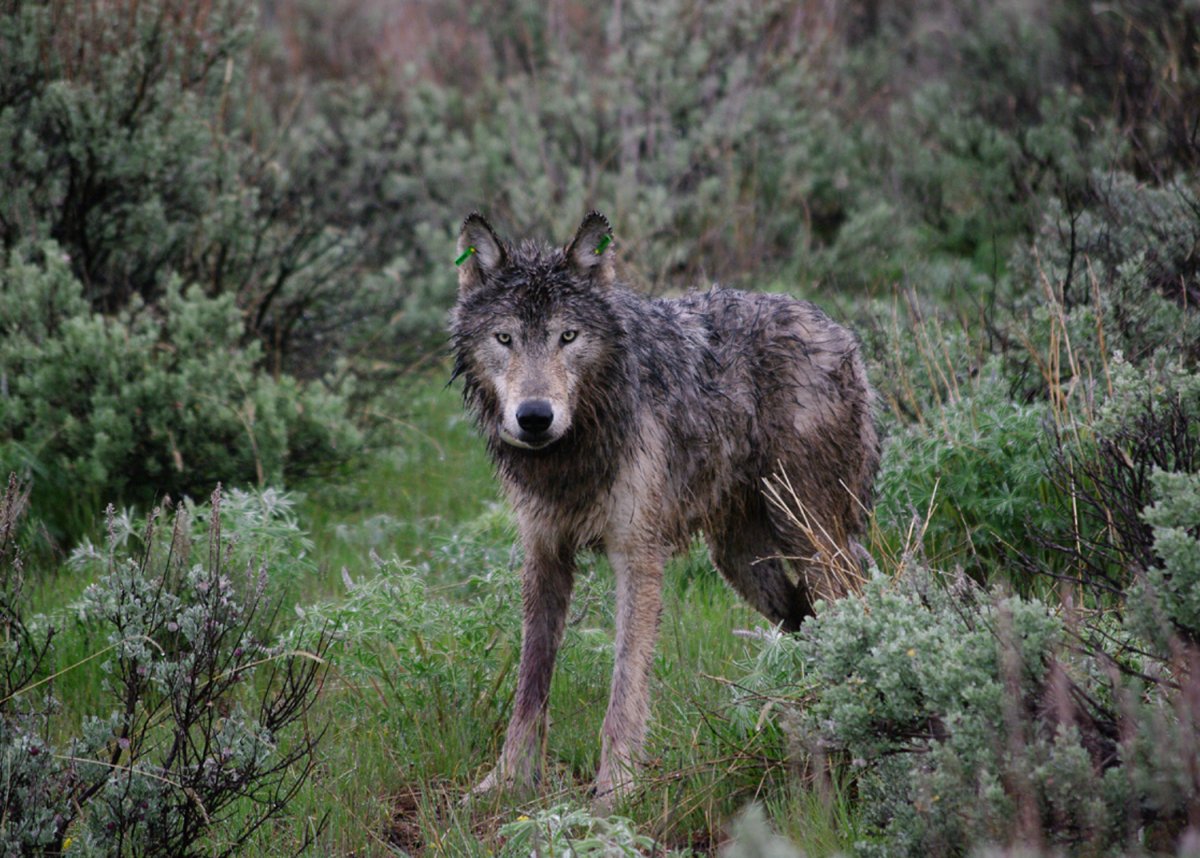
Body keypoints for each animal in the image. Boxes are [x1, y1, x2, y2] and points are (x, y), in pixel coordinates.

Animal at [450, 211, 880, 803]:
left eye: (567, 336)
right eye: (505, 338)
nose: (534, 416)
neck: (577, 451)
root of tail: (840, 331)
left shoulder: (638, 556)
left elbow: (626, 684)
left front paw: (616, 793)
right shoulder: (544, 554)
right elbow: (529, 687)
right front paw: (507, 782)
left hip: (809, 541)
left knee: (851, 607)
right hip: (743, 564)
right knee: (805, 620)